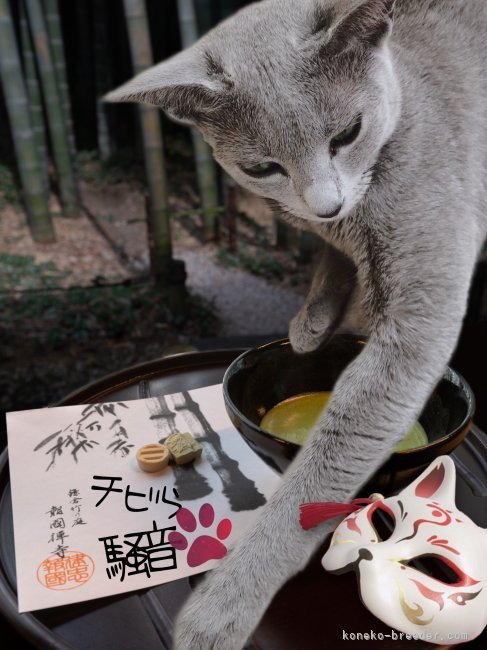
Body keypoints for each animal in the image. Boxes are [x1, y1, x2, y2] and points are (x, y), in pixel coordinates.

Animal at [106, 0, 487, 647]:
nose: (327, 204)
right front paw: (311, 324)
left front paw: (220, 609)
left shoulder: (419, 310)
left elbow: (329, 458)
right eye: (262, 167)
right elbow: (332, 259)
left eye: (347, 134)